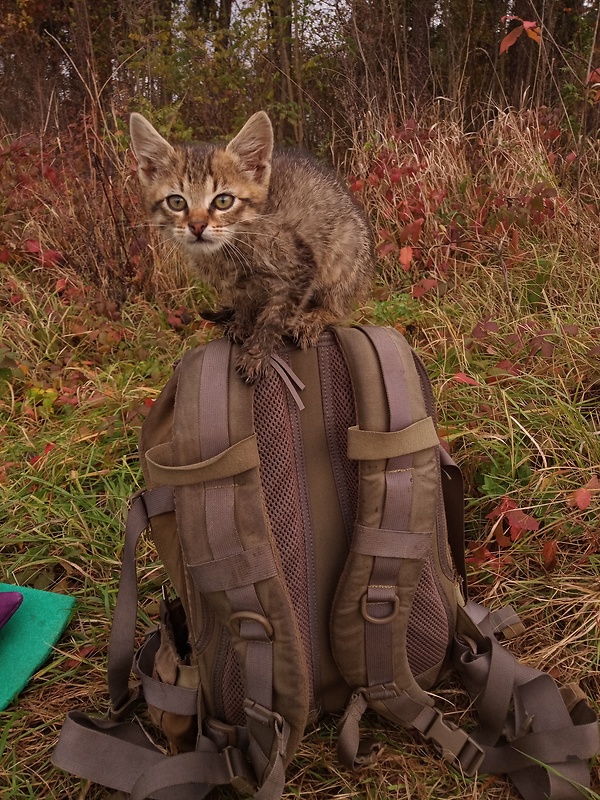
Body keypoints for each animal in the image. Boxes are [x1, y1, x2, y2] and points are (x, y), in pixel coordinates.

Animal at [131, 111, 372, 382]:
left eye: (223, 201)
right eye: (176, 202)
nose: (197, 226)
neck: (230, 245)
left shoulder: (301, 265)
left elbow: (276, 315)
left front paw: (257, 352)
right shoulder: (238, 284)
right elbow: (244, 301)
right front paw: (242, 323)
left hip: (346, 252)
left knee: (340, 307)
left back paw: (317, 317)